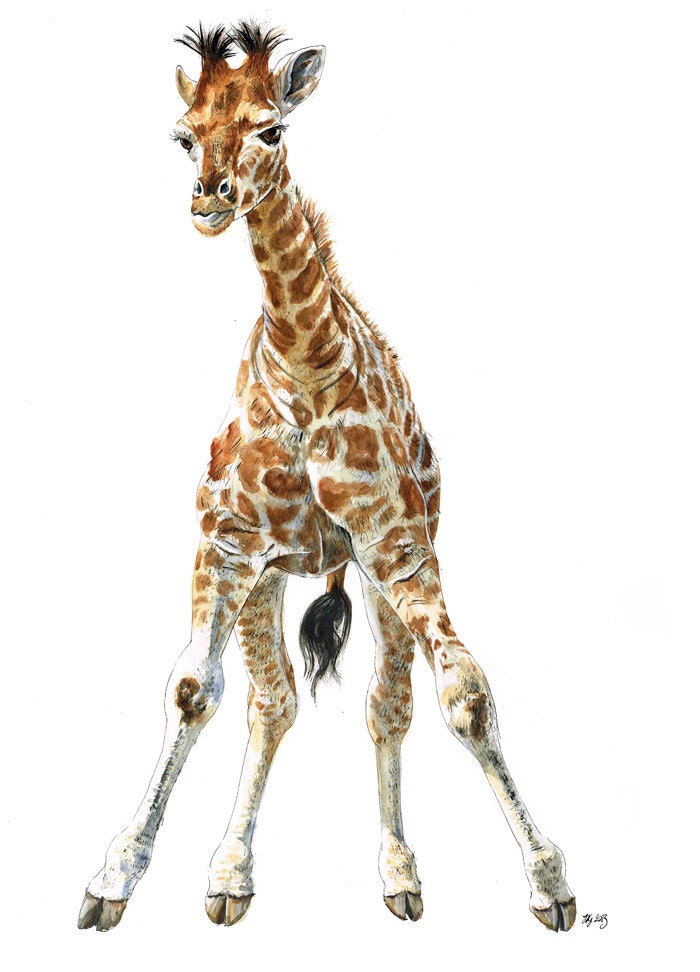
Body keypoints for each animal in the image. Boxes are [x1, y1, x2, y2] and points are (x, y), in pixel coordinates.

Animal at [78, 21, 575, 933]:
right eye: (184, 136)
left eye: (272, 129)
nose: (208, 199)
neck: (305, 365)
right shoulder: (227, 547)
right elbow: (191, 691)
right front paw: (114, 878)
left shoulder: (401, 551)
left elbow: (466, 696)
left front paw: (551, 883)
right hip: (271, 578)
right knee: (271, 703)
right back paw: (231, 874)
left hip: (373, 576)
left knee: (386, 705)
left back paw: (398, 874)